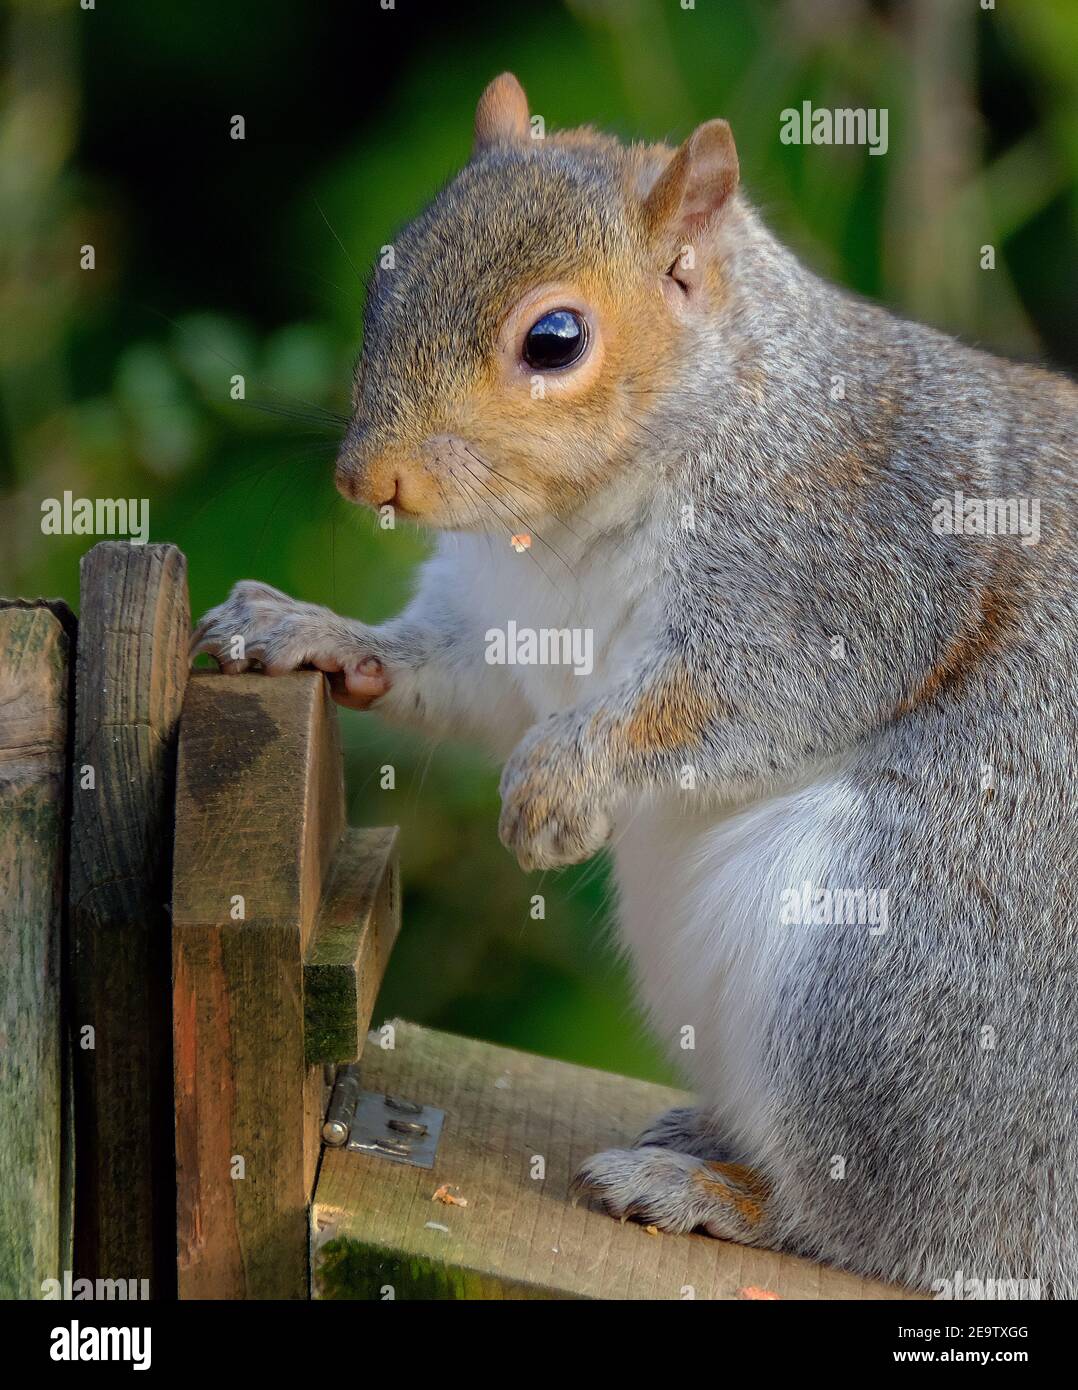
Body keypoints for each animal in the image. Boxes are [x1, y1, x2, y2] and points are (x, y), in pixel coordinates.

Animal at [193, 73, 1078, 1296]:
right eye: (384, 279)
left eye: (555, 339)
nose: (367, 479)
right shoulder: (505, 615)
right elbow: (464, 676)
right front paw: (305, 629)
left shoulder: (835, 567)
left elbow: (727, 699)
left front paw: (559, 785)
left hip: (906, 984)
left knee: (893, 1227)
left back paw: (722, 1196)